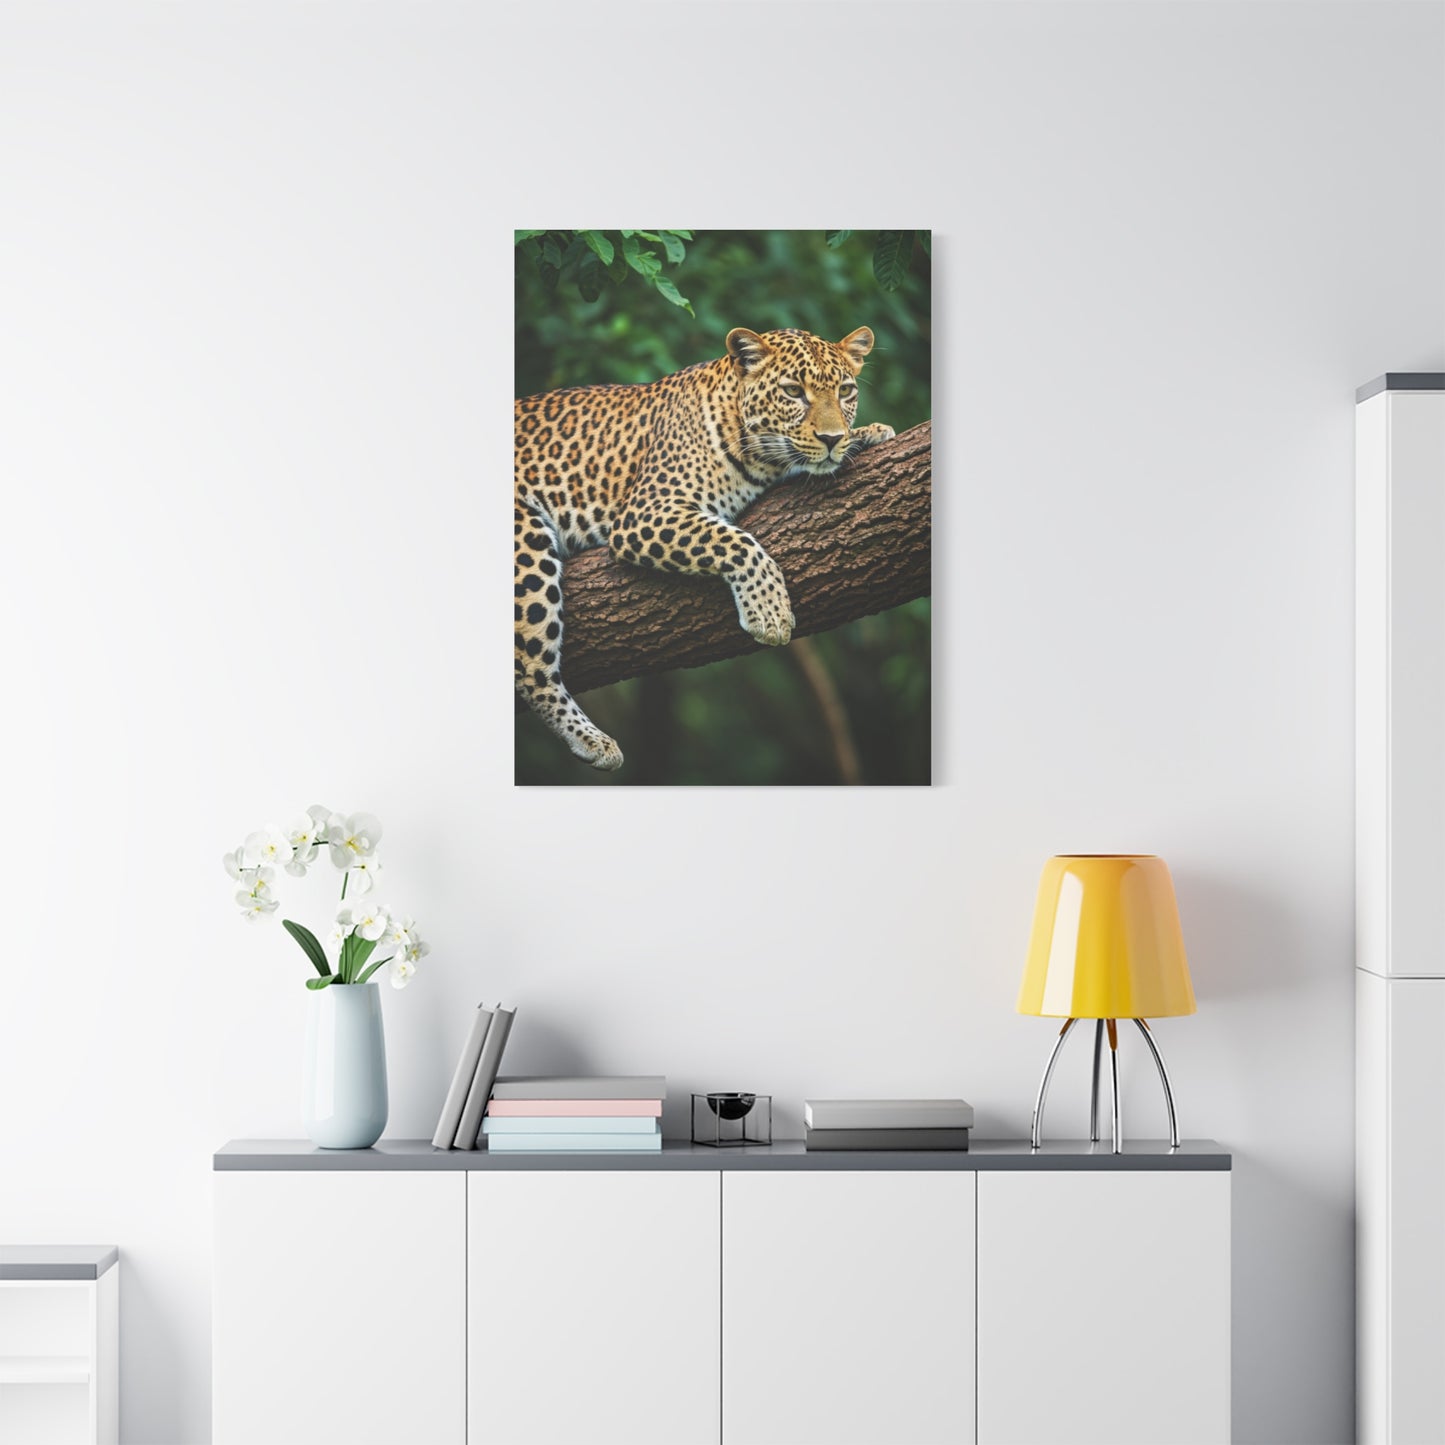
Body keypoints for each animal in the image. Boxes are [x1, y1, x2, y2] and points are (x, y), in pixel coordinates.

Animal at [514, 326, 894, 771]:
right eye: (792, 391)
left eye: (846, 391)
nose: (833, 439)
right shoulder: (646, 512)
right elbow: (738, 541)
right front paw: (770, 613)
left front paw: (868, 433)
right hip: (526, 546)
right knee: (530, 668)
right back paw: (592, 740)